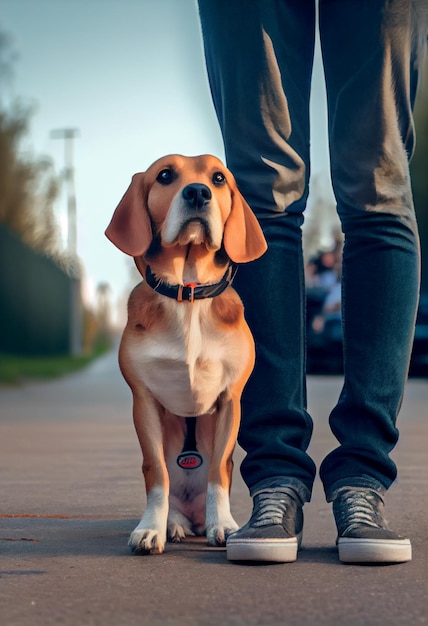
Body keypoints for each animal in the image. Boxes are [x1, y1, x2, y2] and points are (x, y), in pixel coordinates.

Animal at [106, 154, 266, 552]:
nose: (197, 192)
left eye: (219, 178)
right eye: (165, 175)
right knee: (172, 499)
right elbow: (156, 472)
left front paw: (222, 524)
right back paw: (174, 524)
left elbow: (219, 470)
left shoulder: (230, 401)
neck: (188, 293)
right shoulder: (144, 401)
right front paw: (151, 528)